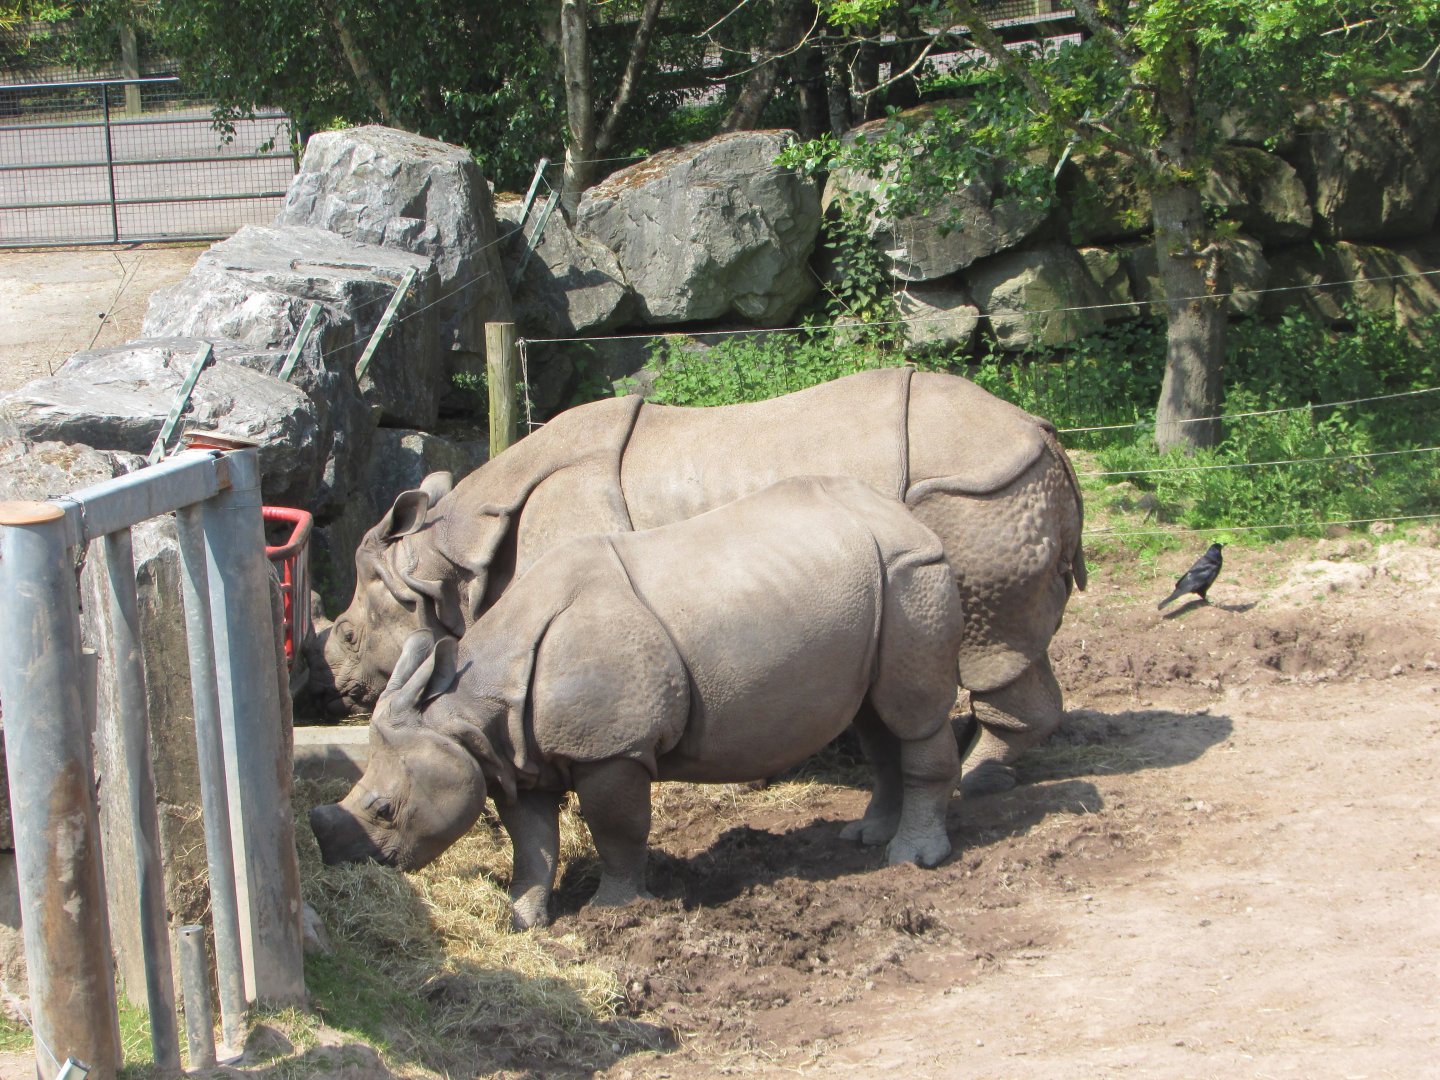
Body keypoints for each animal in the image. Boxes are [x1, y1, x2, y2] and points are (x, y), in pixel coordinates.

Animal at [310, 367, 1086, 795]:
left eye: (346, 633)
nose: (341, 694)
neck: (448, 560)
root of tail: (1045, 433)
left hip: (977, 492)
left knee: (987, 647)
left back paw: (977, 779)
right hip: (997, 491)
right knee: (1012, 646)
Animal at [310, 476, 965, 928]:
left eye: (384, 810)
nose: (351, 866)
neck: (463, 713)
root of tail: (910, 518)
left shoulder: (612, 749)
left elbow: (616, 829)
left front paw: (615, 910)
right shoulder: (514, 754)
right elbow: (532, 842)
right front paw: (523, 919)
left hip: (912, 572)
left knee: (912, 716)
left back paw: (911, 860)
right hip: (877, 580)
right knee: (875, 719)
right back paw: (867, 838)